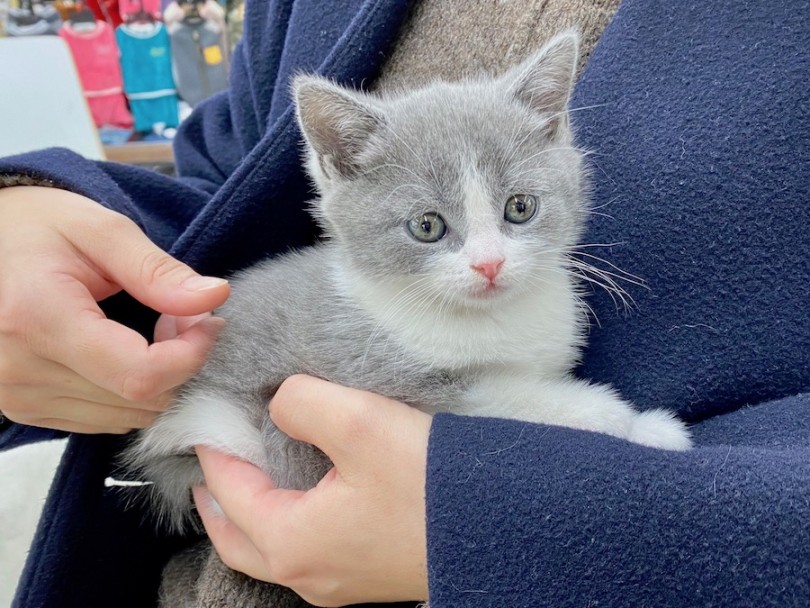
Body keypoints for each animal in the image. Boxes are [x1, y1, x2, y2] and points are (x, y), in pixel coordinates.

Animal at [124, 32, 688, 536]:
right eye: (427, 226)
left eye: (521, 207)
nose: (489, 264)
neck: (488, 316)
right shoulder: (371, 370)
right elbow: (520, 397)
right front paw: (641, 425)